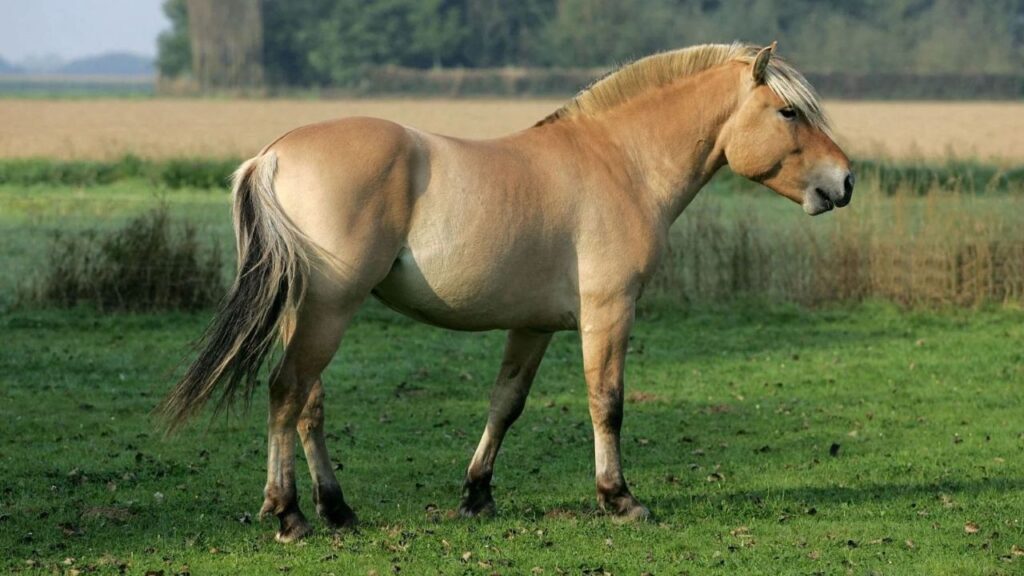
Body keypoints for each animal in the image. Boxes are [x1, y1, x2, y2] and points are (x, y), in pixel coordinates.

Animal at [160, 42, 854, 542]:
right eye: (789, 111)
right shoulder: (608, 313)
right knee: (286, 393)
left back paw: (337, 510)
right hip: (329, 309)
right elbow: (607, 403)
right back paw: (289, 514)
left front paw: (477, 494)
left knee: (308, 404)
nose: (844, 181)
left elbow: (506, 405)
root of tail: (271, 156)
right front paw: (619, 499)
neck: (621, 162)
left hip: (308, 314)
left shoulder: (534, 326)